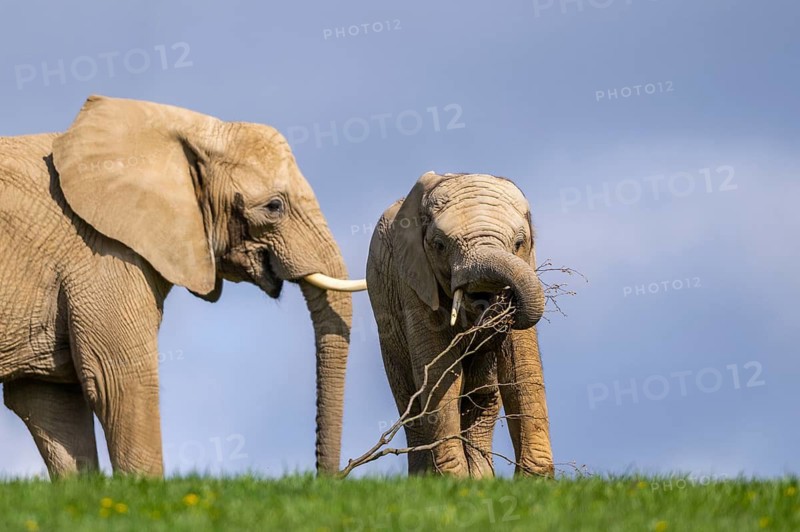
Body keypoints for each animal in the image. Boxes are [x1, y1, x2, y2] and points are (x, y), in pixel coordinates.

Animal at [366, 171, 553, 478]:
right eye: (440, 245)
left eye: (518, 244)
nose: (486, 303)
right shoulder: (413, 282)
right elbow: (439, 372)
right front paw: (451, 480)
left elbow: (522, 366)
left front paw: (534, 481)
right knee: (411, 405)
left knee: (482, 401)